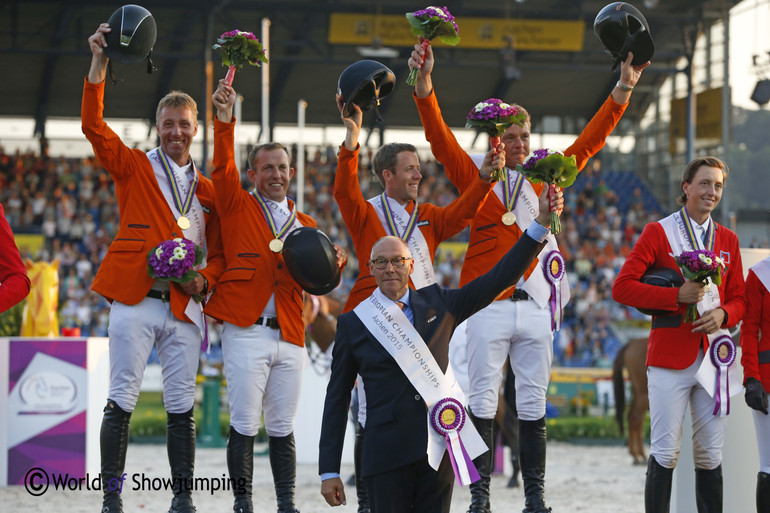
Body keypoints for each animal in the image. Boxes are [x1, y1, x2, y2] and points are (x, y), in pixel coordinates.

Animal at [612, 336, 648, 464]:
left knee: (634, 417)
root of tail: (631, 343)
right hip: (644, 393)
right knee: (636, 417)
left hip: (639, 393)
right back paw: (637, 455)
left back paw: (637, 454)